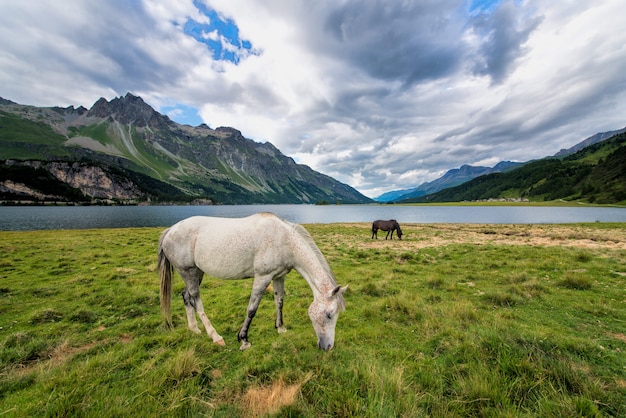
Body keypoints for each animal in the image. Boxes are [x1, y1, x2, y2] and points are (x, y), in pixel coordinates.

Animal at [156, 212, 346, 350]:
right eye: (329, 315)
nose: (328, 347)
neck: (283, 239)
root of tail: (170, 230)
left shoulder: (279, 276)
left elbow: (279, 301)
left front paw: (280, 328)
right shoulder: (262, 277)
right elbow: (252, 309)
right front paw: (244, 339)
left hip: (197, 272)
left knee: (186, 296)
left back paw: (194, 329)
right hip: (188, 272)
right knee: (196, 300)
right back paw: (215, 336)